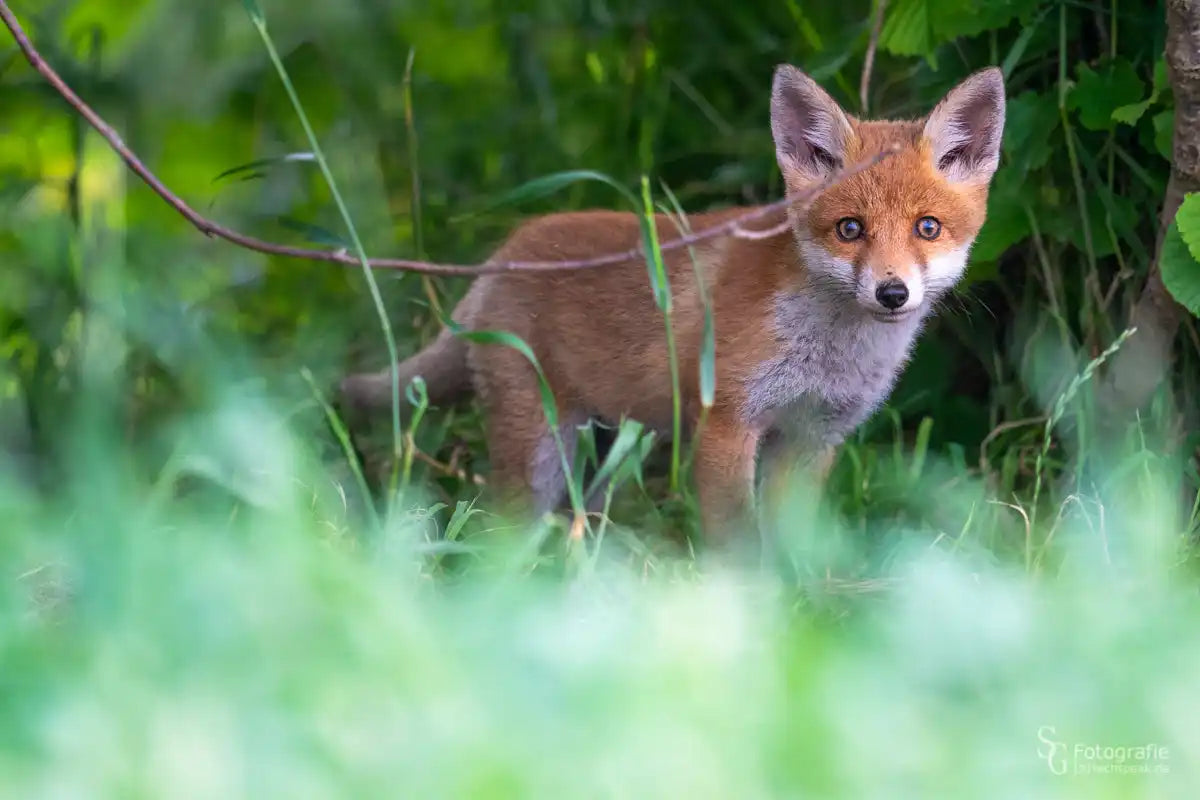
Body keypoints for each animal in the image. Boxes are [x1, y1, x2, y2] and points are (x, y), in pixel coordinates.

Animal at [339, 64, 1006, 547]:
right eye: (849, 229)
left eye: (926, 227)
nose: (893, 293)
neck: (829, 354)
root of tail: (500, 257)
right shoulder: (726, 423)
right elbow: (737, 543)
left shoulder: (813, 437)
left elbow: (796, 545)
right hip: (542, 451)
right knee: (496, 532)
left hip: (603, 452)